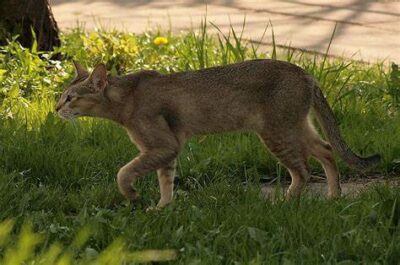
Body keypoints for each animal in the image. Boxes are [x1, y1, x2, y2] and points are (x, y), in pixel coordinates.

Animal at [55, 59, 378, 206]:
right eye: (61, 96)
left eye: (70, 98)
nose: (56, 108)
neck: (126, 97)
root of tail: (306, 73)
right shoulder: (168, 149)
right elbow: (166, 180)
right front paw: (162, 208)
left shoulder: (161, 146)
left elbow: (123, 172)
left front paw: (133, 195)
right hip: (295, 126)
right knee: (327, 149)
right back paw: (333, 195)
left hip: (276, 132)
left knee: (303, 170)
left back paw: (283, 202)